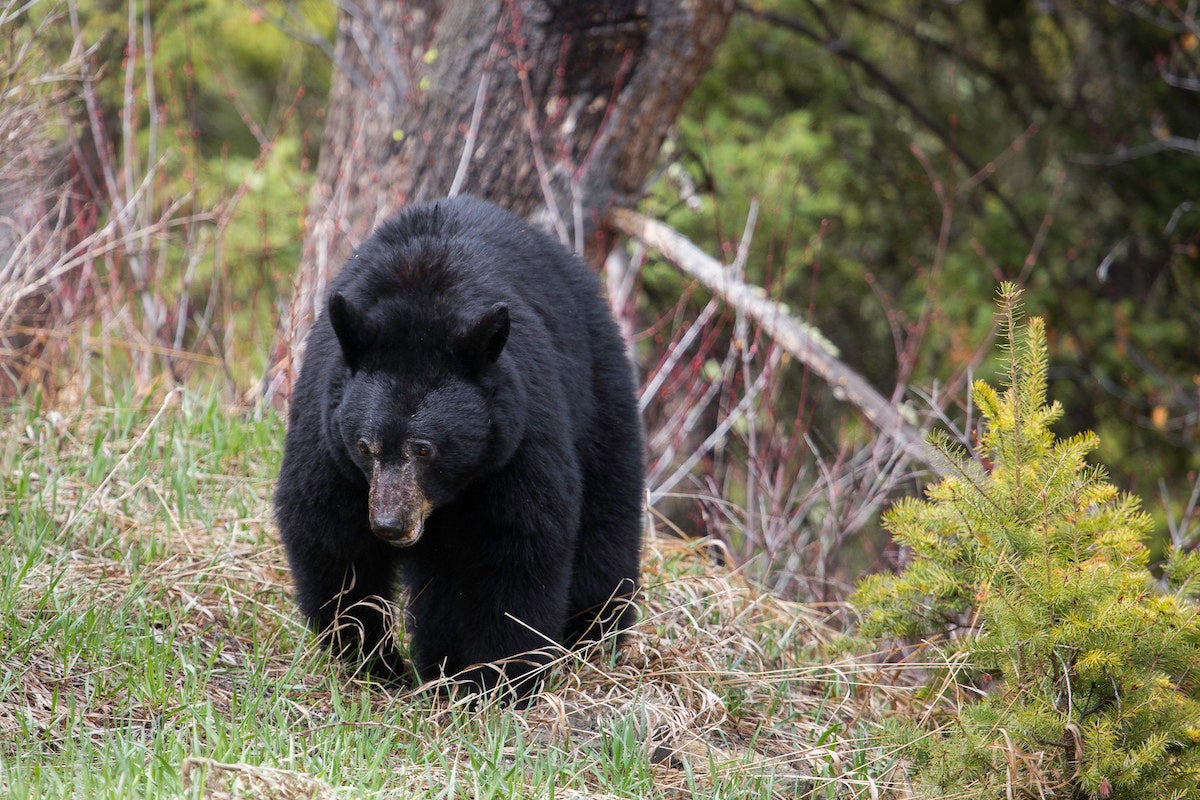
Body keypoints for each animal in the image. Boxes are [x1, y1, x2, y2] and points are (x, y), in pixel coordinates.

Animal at [274, 196, 648, 705]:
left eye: (424, 449)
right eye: (366, 447)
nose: (390, 525)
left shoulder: (517, 440)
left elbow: (513, 552)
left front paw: (497, 682)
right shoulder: (327, 435)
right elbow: (331, 542)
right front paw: (374, 662)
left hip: (600, 391)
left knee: (606, 523)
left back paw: (591, 637)